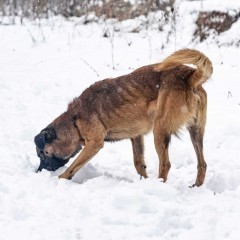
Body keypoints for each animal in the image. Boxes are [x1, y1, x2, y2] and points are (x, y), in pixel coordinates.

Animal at [33, 48, 212, 187]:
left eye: (43, 154)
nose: (38, 172)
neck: (74, 120)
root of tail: (190, 76)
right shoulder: (136, 137)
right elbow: (139, 164)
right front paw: (143, 182)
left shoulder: (94, 143)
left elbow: (73, 167)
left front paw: (60, 179)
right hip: (196, 131)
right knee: (202, 163)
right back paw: (196, 186)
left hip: (159, 130)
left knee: (165, 164)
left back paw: (159, 185)